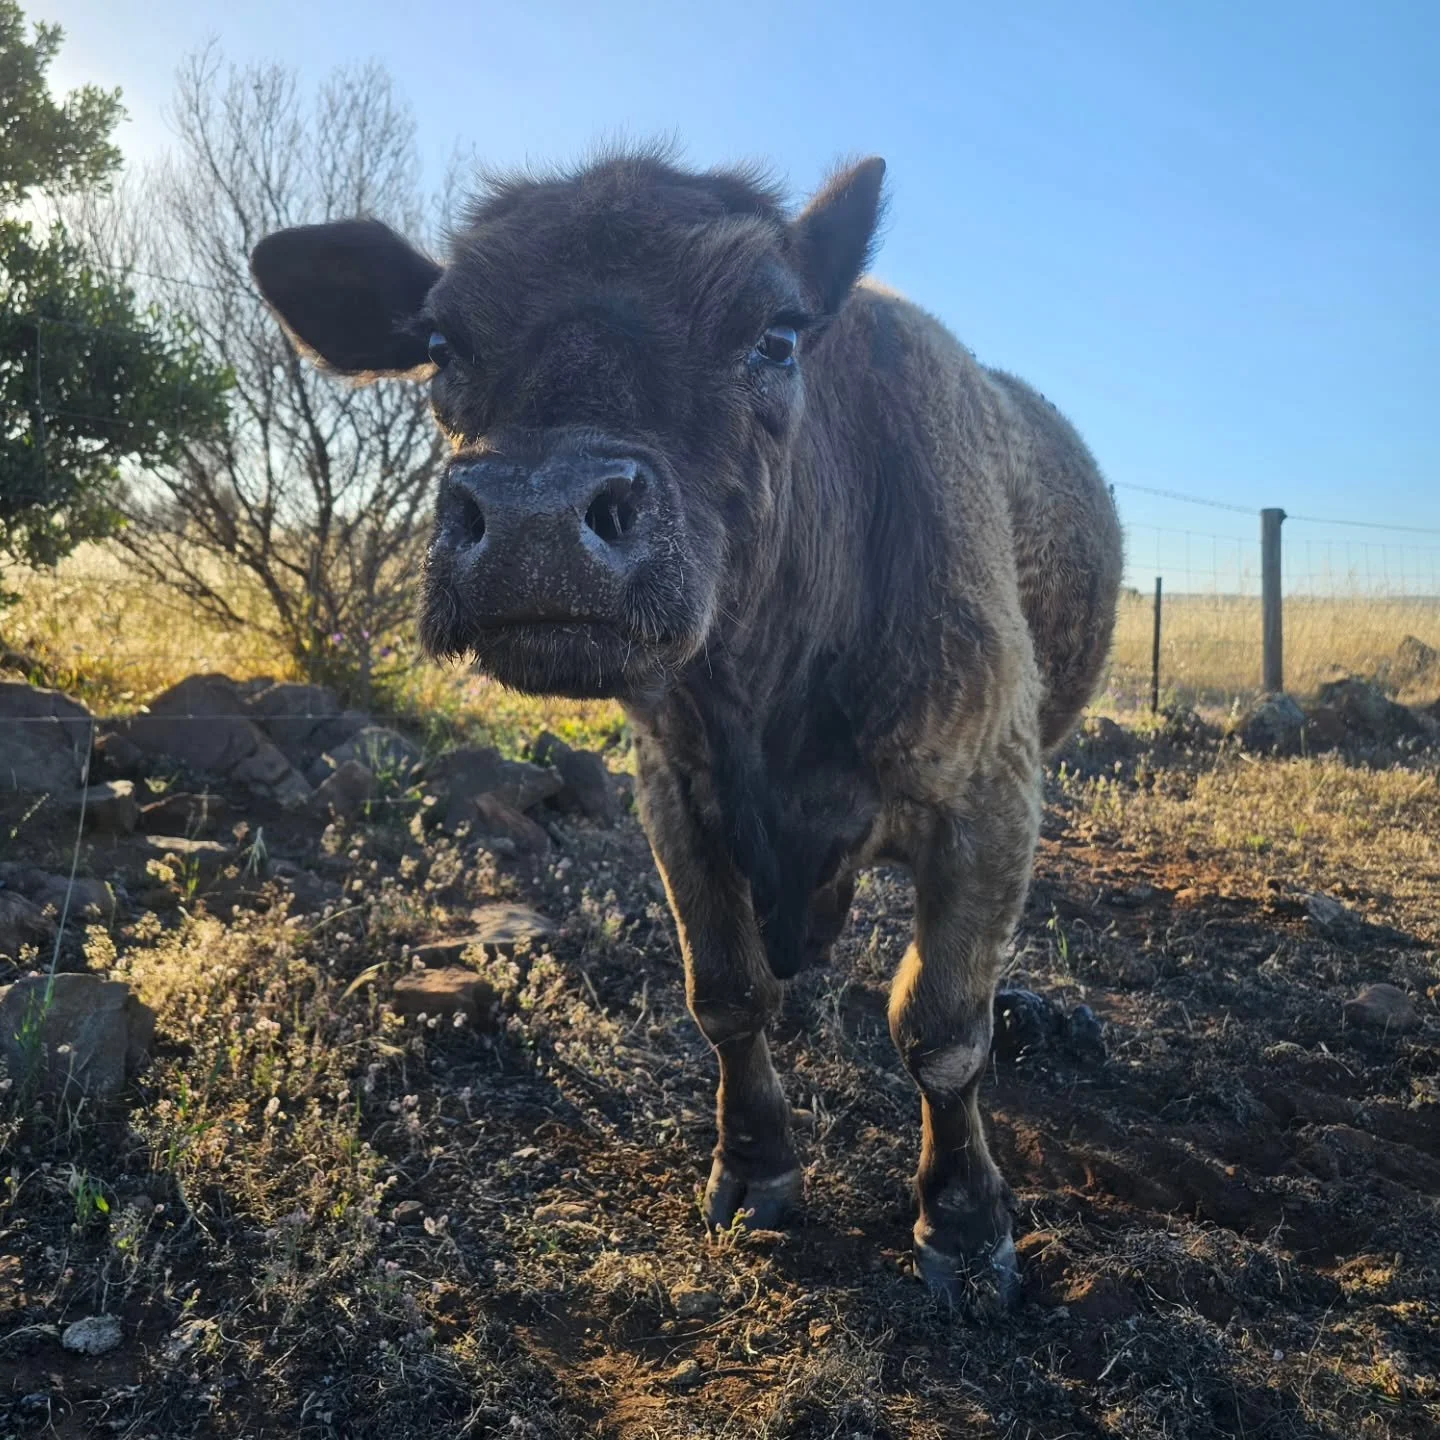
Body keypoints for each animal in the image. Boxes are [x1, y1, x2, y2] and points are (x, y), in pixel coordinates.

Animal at [249, 149, 1124, 1308]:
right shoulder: (675, 790)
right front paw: (756, 1168)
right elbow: (728, 995)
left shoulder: (990, 796)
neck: (772, 703)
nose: (535, 521)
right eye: (441, 345)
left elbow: (940, 1031)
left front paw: (965, 1225)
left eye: (775, 336)